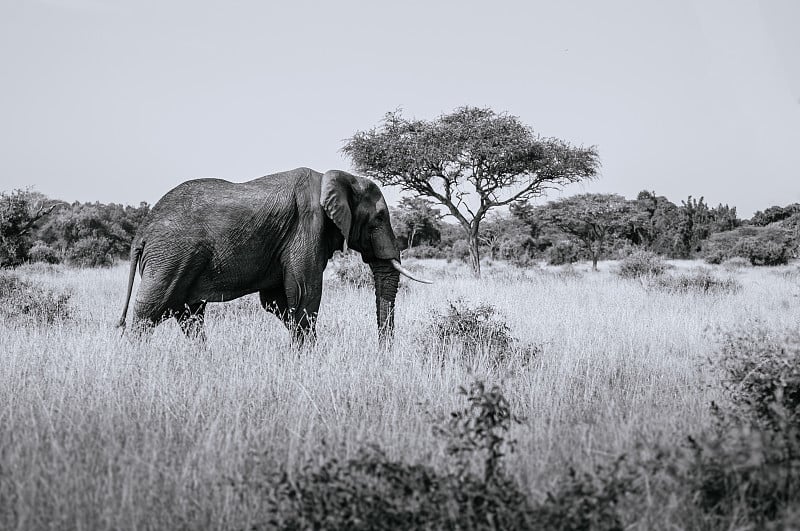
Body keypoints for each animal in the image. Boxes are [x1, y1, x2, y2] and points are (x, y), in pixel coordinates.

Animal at [115, 167, 428, 344]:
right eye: (379, 218)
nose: (382, 355)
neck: (336, 178)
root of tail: (141, 232)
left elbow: (277, 301)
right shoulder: (307, 226)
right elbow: (304, 294)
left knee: (188, 315)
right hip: (170, 256)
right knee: (149, 312)